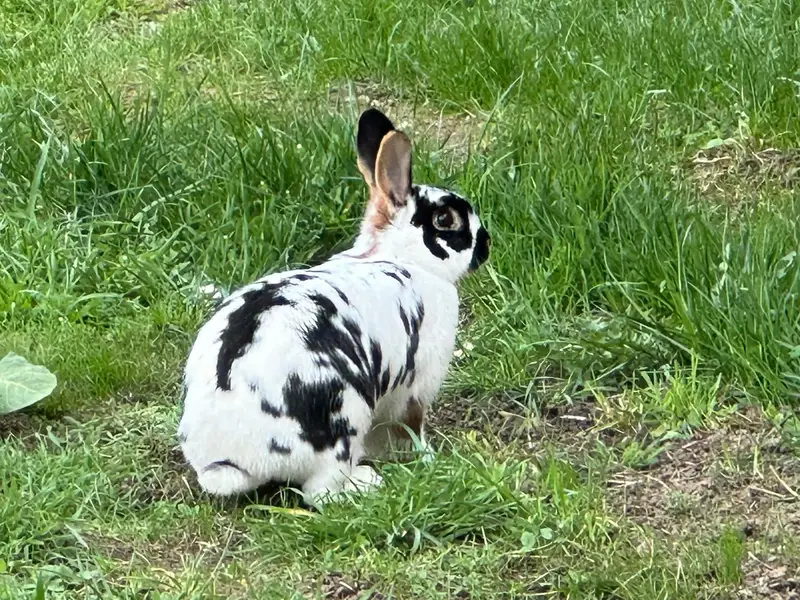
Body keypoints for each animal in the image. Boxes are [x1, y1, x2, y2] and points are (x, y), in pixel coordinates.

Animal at [177, 107, 491, 505]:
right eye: (445, 220)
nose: (486, 244)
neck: (396, 257)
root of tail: (234, 460)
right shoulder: (414, 386)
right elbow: (409, 425)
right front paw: (425, 456)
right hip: (346, 418)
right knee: (320, 494)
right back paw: (366, 482)